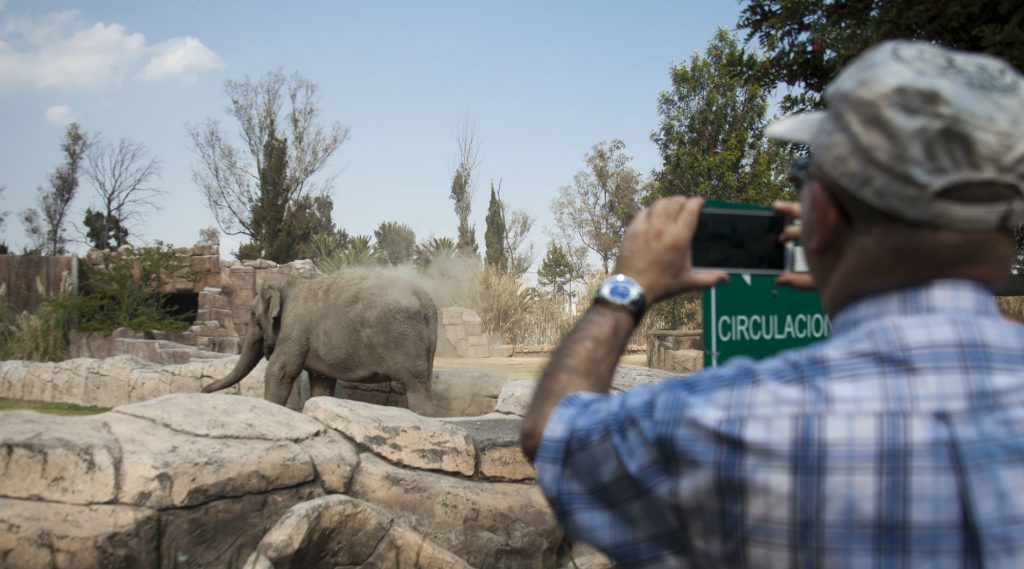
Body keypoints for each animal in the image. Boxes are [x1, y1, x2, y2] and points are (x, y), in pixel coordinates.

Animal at [201, 270, 438, 409]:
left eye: (252, 315)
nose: (203, 391)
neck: (293, 283)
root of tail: (428, 301)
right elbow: (321, 382)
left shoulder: (295, 331)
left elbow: (280, 371)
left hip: (406, 340)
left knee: (416, 387)